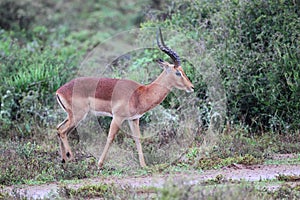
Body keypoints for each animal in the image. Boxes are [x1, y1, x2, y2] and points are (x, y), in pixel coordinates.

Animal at [56, 28, 195, 168]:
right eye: (178, 72)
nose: (192, 87)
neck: (140, 94)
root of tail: (59, 91)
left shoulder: (134, 119)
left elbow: (138, 139)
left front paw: (143, 165)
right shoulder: (117, 117)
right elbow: (110, 138)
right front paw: (100, 164)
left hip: (71, 116)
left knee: (59, 129)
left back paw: (64, 160)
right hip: (78, 115)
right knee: (62, 131)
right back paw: (71, 158)